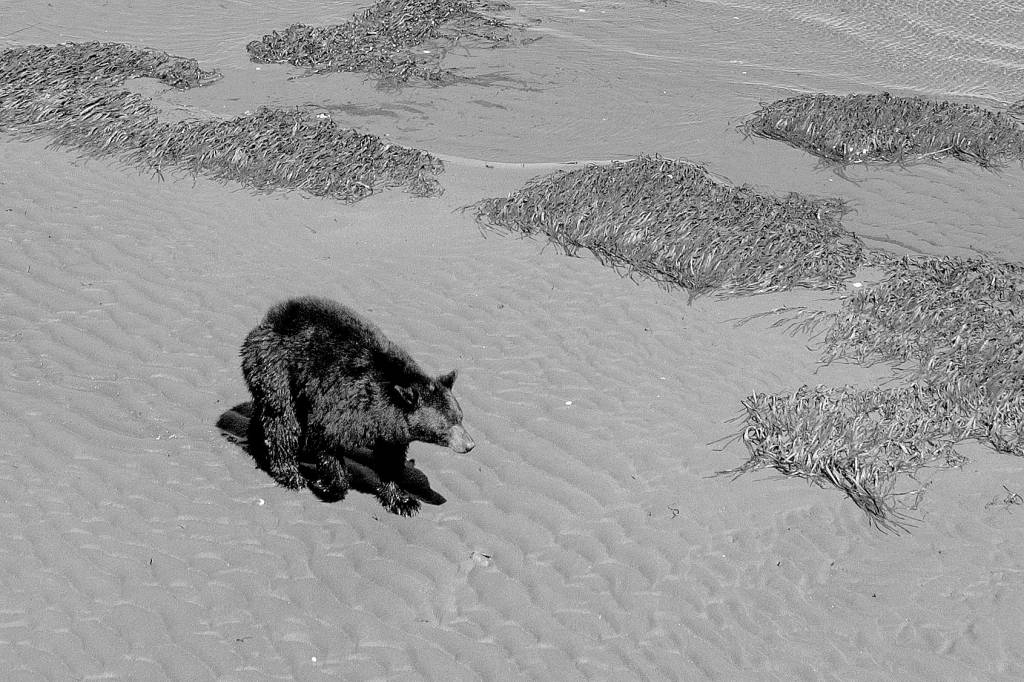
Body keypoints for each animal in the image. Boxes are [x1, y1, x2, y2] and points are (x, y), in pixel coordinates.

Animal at [239, 295, 474, 516]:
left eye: (460, 417)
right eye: (447, 425)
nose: (470, 445)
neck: (384, 410)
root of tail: (270, 318)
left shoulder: (390, 433)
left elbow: (390, 462)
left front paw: (403, 501)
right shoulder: (343, 404)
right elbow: (326, 441)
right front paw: (327, 485)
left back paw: (256, 443)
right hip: (278, 370)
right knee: (283, 422)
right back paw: (290, 474)